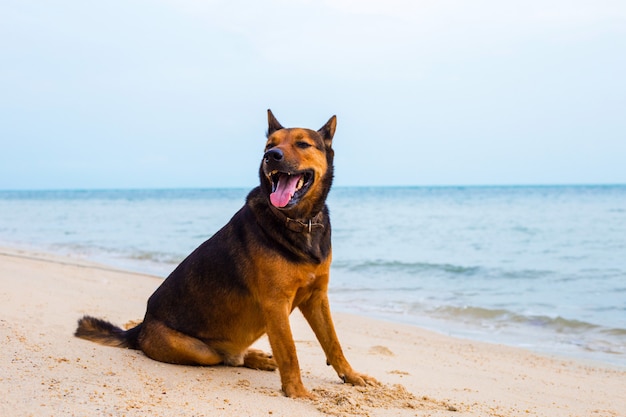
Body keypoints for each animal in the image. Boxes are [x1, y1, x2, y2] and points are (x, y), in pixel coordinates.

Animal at [75, 109, 372, 396]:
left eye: (302, 144)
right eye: (269, 145)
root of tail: (138, 330)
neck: (300, 221)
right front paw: (297, 393)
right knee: (226, 358)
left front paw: (351, 375)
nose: (271, 157)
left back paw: (257, 357)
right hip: (200, 351)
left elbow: (333, 343)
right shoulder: (276, 304)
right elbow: (290, 352)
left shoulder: (317, 298)